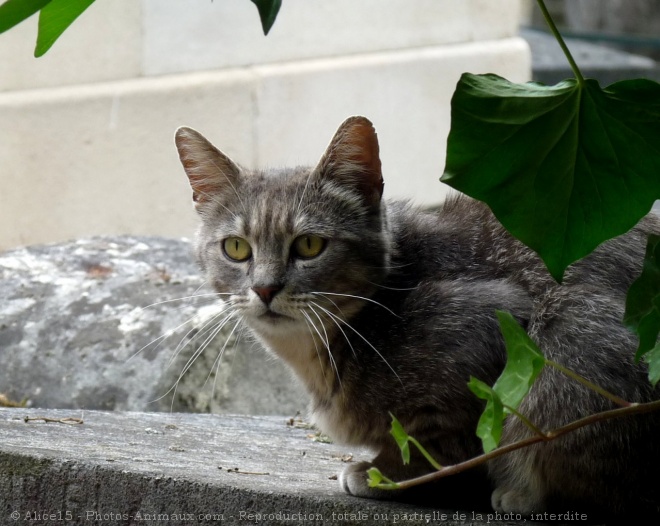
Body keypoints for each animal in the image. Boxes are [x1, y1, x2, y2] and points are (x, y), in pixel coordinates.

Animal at [174, 116, 660, 524]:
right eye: (236, 248)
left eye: (310, 245)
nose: (265, 288)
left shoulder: (490, 326)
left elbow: (447, 444)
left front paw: (387, 474)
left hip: (573, 346)